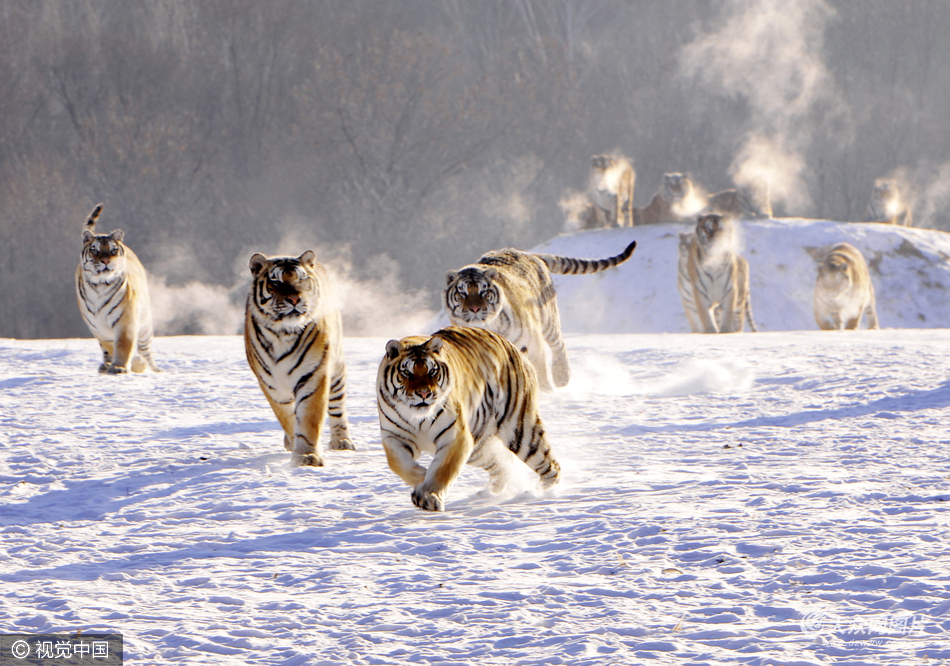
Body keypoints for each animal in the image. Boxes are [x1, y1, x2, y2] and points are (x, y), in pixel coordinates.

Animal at [75, 202, 161, 374]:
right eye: (95, 249)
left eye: (113, 249)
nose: (106, 260)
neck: (100, 285)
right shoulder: (98, 326)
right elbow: (111, 346)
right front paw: (127, 364)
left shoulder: (125, 319)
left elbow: (123, 344)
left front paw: (120, 367)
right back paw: (106, 366)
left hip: (145, 325)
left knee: (146, 349)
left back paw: (154, 368)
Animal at [376, 324, 560, 510]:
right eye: (407, 372)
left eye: (432, 371)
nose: (424, 393)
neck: (418, 418)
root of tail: (515, 349)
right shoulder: (394, 437)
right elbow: (398, 463)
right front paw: (422, 477)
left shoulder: (456, 437)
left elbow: (443, 470)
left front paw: (428, 496)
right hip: (479, 446)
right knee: (503, 465)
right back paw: (488, 493)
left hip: (520, 430)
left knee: (549, 465)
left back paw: (540, 493)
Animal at [446, 240, 640, 390]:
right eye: (462, 293)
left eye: (483, 292)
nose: (475, 309)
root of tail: (528, 254)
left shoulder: (532, 342)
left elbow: (540, 372)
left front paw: (546, 393)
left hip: (548, 320)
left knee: (558, 345)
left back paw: (562, 378)